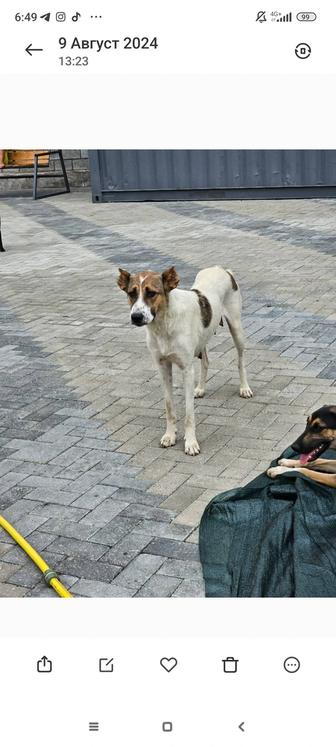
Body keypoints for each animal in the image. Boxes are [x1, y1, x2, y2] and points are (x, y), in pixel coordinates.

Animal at [117, 266, 251, 458]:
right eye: (131, 293)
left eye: (151, 293)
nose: (136, 316)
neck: (164, 323)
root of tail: (220, 268)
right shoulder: (163, 368)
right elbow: (169, 407)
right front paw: (170, 435)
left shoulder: (187, 370)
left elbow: (189, 414)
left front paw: (191, 443)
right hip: (202, 340)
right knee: (206, 361)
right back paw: (200, 388)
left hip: (236, 328)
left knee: (240, 360)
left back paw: (244, 388)